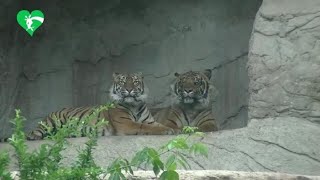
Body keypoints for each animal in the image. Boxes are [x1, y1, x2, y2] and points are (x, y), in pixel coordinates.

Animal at [0, 72, 175, 142]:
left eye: (135, 81)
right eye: (123, 81)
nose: (130, 89)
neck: (134, 104)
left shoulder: (150, 120)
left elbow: (156, 124)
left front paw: (174, 129)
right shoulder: (126, 124)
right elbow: (144, 127)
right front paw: (167, 131)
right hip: (49, 124)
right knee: (33, 134)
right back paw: (34, 136)